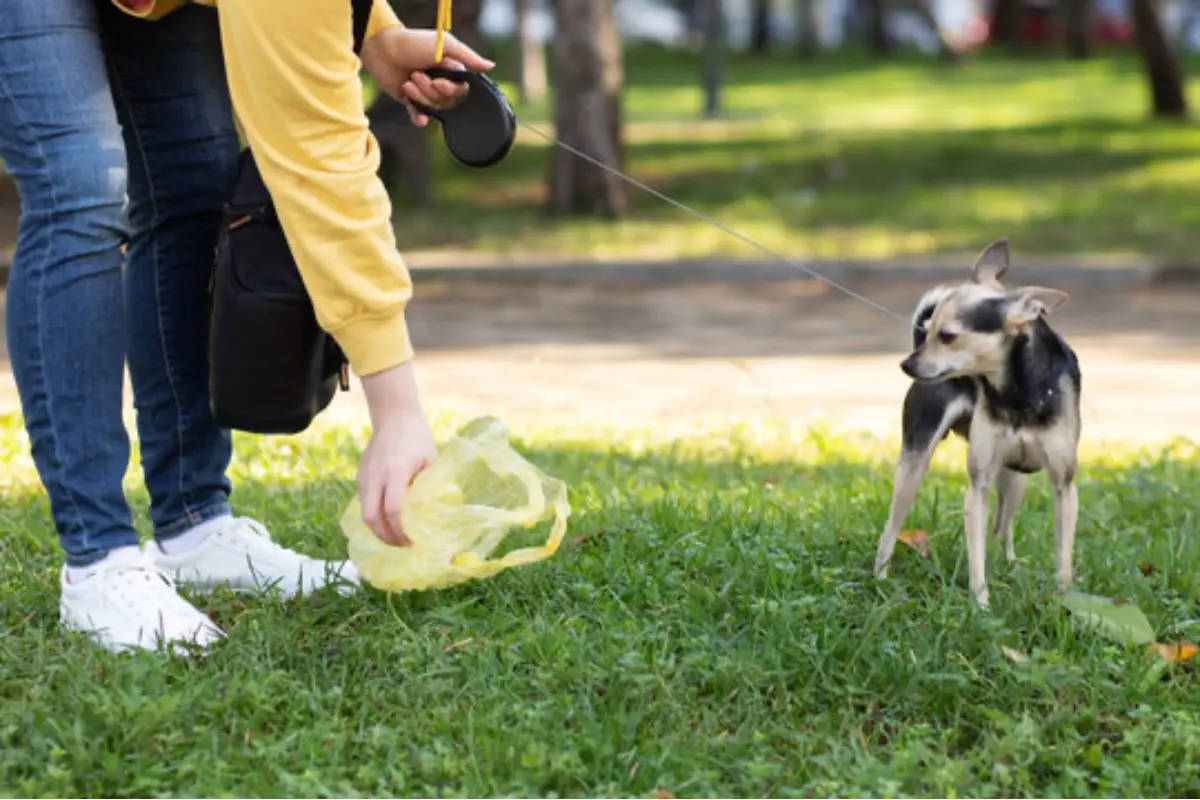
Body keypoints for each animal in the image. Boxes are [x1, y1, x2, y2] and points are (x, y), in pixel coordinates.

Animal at [873, 237, 1080, 606]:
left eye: (948, 336)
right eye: (929, 331)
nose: (906, 364)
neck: (1017, 391)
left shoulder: (1064, 487)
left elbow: (1063, 557)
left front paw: (1064, 599)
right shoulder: (978, 487)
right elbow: (976, 555)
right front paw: (981, 603)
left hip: (1015, 480)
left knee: (1002, 528)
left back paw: (1009, 564)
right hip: (913, 465)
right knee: (891, 527)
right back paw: (881, 578)